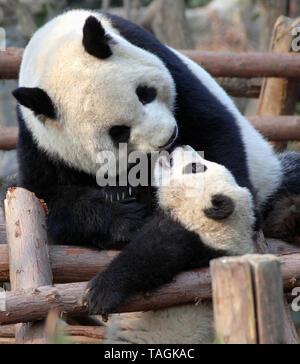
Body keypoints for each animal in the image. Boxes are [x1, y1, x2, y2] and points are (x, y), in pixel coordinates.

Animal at [11, 9, 296, 316]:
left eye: (145, 93)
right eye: (118, 132)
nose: (168, 137)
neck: (53, 46)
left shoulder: (163, 61)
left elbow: (214, 133)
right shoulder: (41, 140)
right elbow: (48, 199)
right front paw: (124, 214)